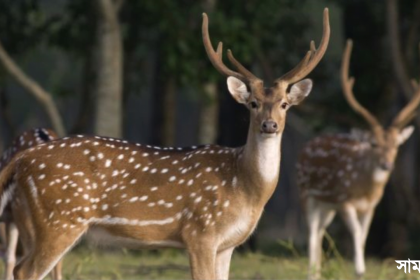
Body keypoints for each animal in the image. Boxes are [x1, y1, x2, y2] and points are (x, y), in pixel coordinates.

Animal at [296, 40, 420, 280]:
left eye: (397, 145)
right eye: (373, 144)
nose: (386, 165)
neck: (365, 191)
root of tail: (306, 147)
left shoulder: (371, 207)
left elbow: (363, 236)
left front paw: (360, 266)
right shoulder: (345, 201)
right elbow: (354, 232)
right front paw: (360, 269)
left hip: (327, 206)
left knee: (320, 232)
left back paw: (317, 273)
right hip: (306, 194)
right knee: (312, 234)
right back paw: (311, 273)